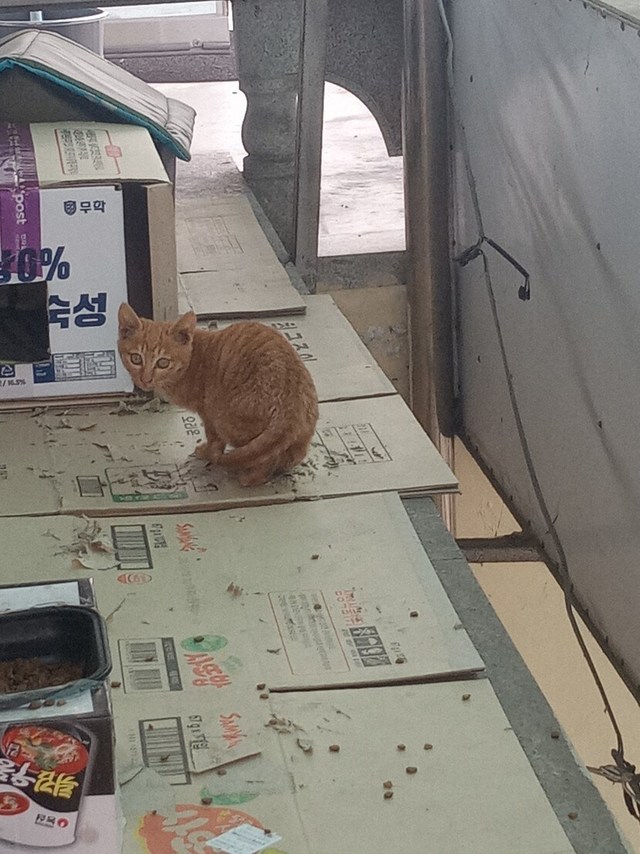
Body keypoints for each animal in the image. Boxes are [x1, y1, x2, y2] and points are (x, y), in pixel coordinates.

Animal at [117, 303, 319, 486]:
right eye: (136, 358)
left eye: (163, 363)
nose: (145, 379)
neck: (192, 361)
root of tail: (291, 403)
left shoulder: (208, 413)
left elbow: (214, 440)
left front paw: (207, 452)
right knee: (291, 454)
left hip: (225, 418)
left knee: (264, 457)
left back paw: (251, 477)